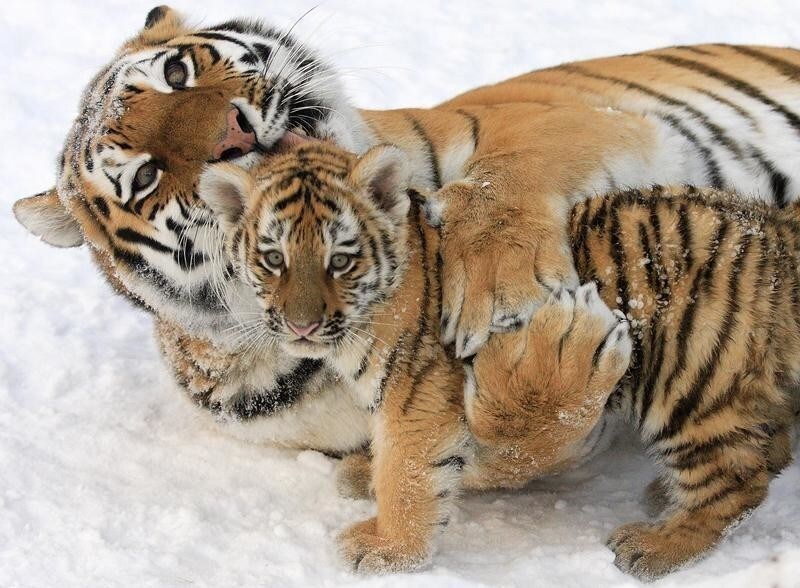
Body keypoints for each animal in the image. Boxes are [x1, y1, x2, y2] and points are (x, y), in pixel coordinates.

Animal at [194, 141, 634, 574]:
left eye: (340, 261)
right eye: (273, 259)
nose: (302, 326)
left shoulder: (417, 382)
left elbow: (410, 465)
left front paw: (389, 546)